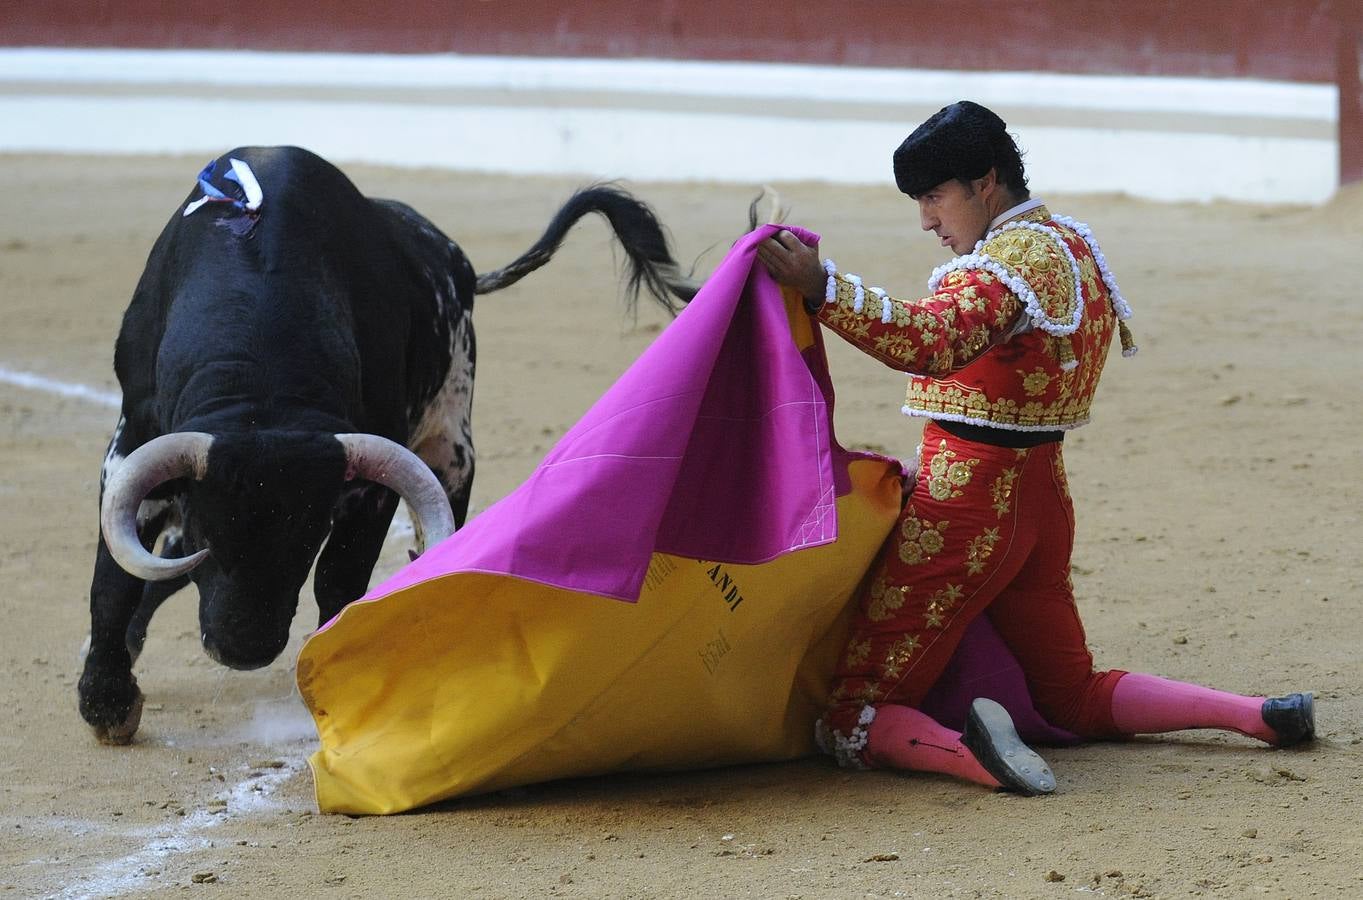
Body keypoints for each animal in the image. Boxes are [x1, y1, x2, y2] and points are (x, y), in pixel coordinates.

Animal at [81, 145, 697, 747]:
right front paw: (106, 700)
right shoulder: (133, 443)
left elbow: (340, 576)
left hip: (452, 445)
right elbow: (116, 575)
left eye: (309, 535)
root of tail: (453, 259)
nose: (244, 648)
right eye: (208, 531)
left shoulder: (370, 481)